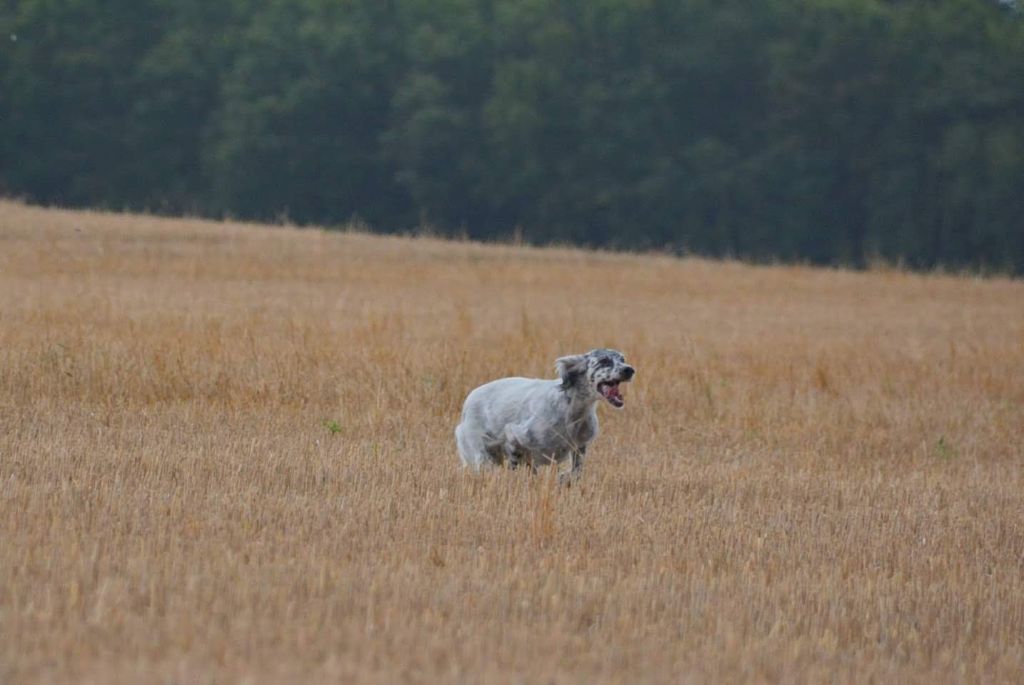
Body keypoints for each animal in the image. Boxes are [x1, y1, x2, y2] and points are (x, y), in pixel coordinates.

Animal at [454, 348, 630, 481]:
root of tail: (469, 399)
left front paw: (564, 479)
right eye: (604, 361)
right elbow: (514, 467)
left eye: (622, 359)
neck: (571, 409)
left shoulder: (579, 446)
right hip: (480, 453)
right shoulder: (515, 435)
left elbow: (575, 472)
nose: (630, 369)